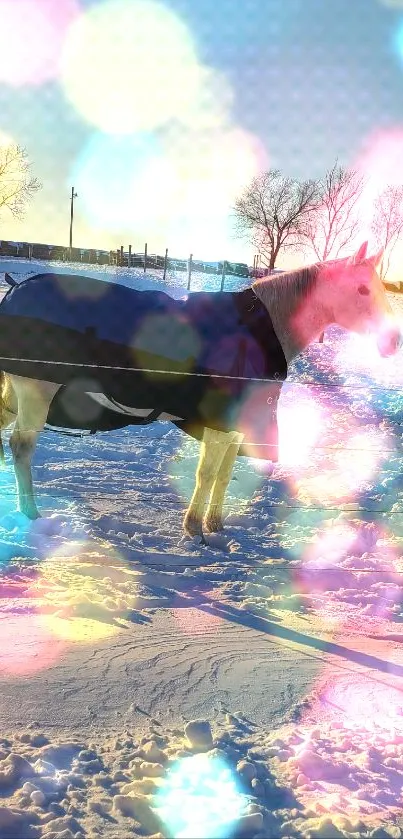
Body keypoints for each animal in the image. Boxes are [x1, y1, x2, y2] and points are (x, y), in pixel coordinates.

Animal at [0, 241, 400, 540]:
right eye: (362, 288)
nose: (392, 341)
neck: (258, 331)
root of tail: (15, 289)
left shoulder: (236, 426)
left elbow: (222, 475)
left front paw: (215, 524)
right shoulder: (219, 423)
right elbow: (206, 473)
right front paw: (194, 528)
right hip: (36, 390)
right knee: (21, 447)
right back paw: (31, 512)